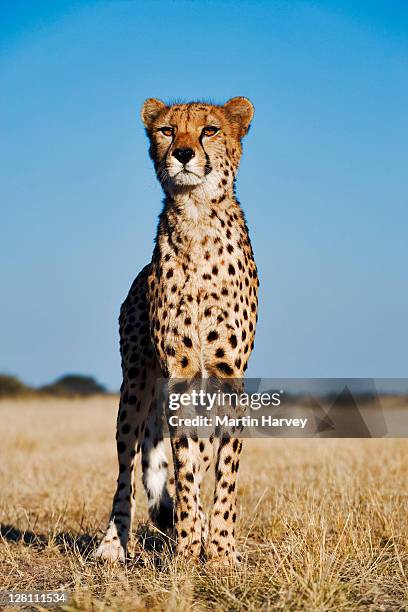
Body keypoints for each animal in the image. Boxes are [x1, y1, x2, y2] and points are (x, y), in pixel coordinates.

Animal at [95, 97, 258, 564]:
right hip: (134, 388)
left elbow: (223, 468)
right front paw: (187, 547)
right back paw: (113, 544)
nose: (183, 154)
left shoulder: (226, 375)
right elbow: (182, 467)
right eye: (167, 131)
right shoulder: (179, 375)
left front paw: (220, 549)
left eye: (210, 130)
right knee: (126, 469)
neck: (197, 217)